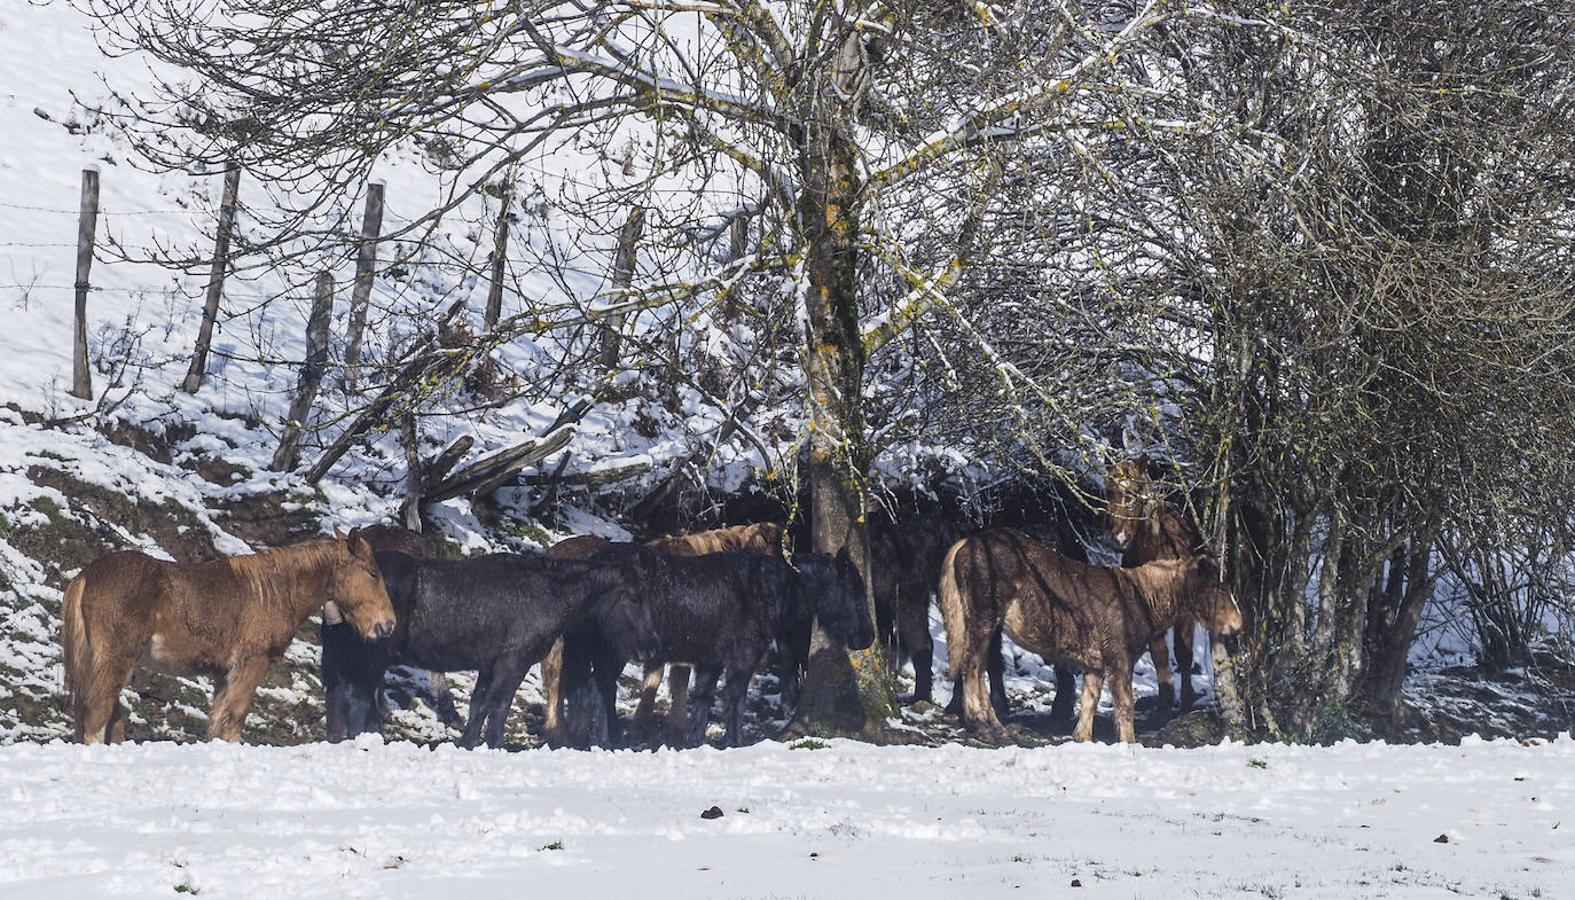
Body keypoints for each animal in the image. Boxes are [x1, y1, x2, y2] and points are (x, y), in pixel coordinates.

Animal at [66, 529, 400, 747]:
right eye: (372, 573)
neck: (275, 591)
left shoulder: (224, 674)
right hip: (116, 660)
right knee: (96, 711)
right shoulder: (251, 664)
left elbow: (218, 720)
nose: (388, 625)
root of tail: (85, 576)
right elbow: (235, 716)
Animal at [319, 551, 645, 750]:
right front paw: (495, 745)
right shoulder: (513, 663)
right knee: (357, 700)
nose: (643, 650)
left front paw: (468, 744)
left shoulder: (490, 666)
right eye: (632, 597)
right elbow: (499, 706)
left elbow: (479, 706)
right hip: (371, 660)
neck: (547, 591)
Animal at [560, 545, 875, 750]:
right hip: (613, 650)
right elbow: (735, 702)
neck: (779, 593)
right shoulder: (743, 658)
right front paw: (733, 743)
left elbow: (702, 701)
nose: (867, 636)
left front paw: (695, 743)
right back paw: (603, 741)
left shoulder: (709, 662)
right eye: (852, 589)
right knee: (600, 687)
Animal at [932, 523, 1241, 743]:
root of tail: (968, 541)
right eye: (1220, 587)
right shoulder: (1119, 660)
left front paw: (1081, 737)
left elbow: (1088, 704)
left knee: (978, 666)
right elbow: (1125, 706)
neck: (1143, 600)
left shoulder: (1096, 665)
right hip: (984, 619)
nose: (1238, 624)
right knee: (971, 666)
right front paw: (1129, 743)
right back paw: (983, 723)